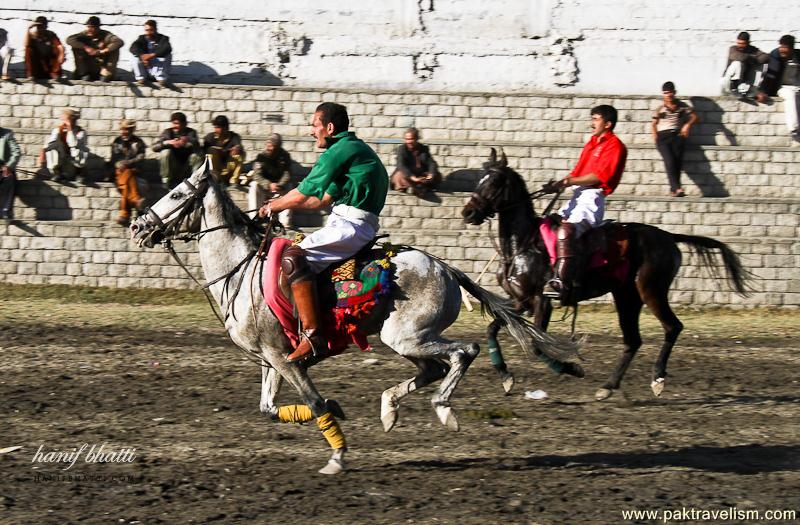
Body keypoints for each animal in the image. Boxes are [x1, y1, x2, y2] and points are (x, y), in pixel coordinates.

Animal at [133, 159, 580, 470]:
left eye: (177, 194)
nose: (138, 225)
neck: (242, 271)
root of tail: (445, 267)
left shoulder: (285, 358)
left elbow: (314, 403)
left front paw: (337, 456)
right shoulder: (270, 359)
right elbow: (270, 408)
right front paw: (339, 409)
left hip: (407, 336)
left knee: (462, 352)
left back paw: (443, 409)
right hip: (406, 339)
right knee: (433, 368)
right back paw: (389, 409)